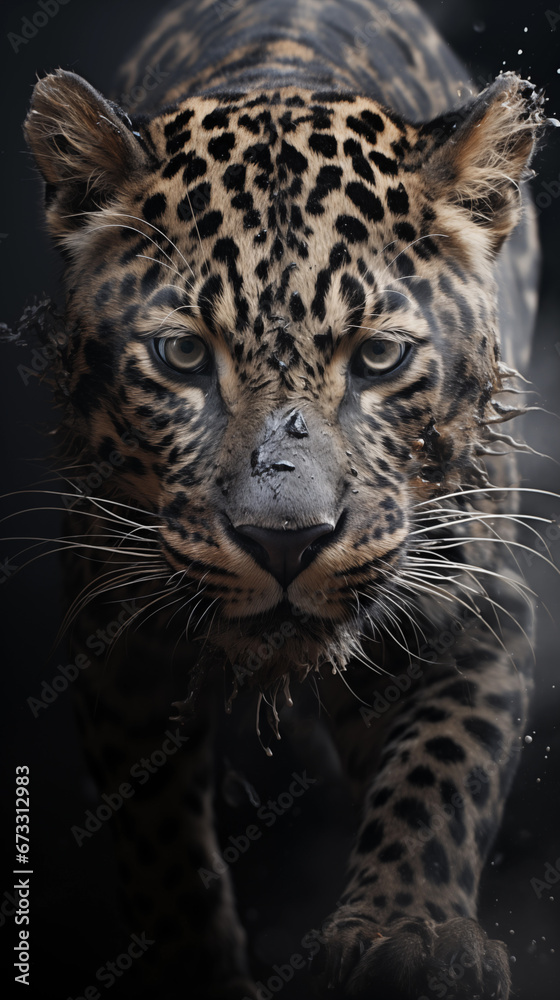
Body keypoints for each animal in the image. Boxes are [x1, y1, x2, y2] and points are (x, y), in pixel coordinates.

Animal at [21, 0, 553, 997]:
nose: (284, 542)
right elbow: (156, 832)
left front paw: (404, 937)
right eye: (183, 356)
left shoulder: (475, 605)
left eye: (378, 357)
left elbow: (439, 771)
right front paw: (193, 963)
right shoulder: (114, 627)